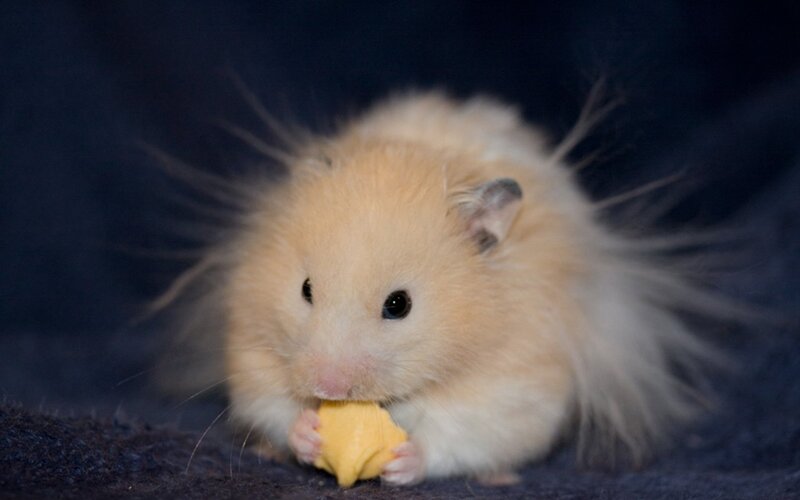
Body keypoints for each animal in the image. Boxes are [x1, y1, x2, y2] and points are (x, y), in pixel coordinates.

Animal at [159, 91, 723, 485]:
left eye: (399, 305)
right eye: (305, 289)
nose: (329, 389)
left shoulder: (514, 387)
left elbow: (464, 433)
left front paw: (405, 459)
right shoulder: (253, 349)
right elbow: (272, 403)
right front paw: (308, 431)